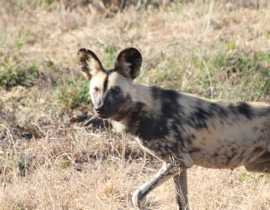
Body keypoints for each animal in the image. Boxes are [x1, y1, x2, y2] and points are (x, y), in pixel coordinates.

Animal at [77, 47, 270, 210]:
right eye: (96, 90)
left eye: (116, 90)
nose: (100, 109)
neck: (144, 108)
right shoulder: (179, 166)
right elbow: (182, 201)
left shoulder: (179, 161)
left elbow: (137, 196)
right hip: (256, 165)